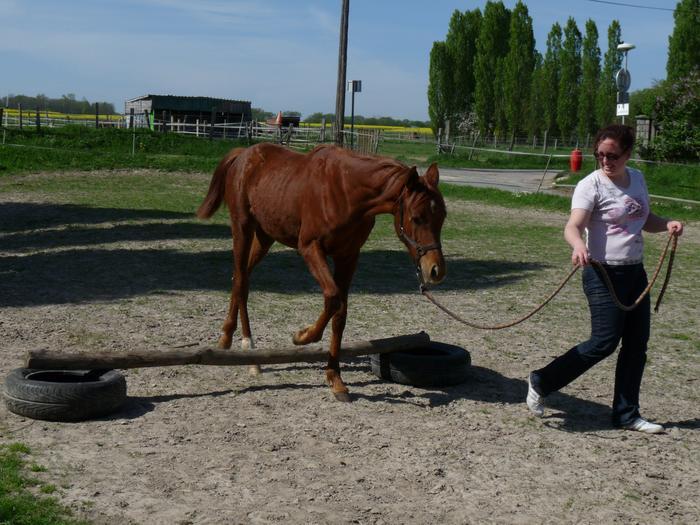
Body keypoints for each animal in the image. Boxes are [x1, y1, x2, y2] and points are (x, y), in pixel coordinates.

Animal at [197, 141, 446, 400]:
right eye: (416, 218)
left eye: (442, 216)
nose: (435, 270)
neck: (347, 192)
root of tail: (243, 155)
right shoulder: (310, 248)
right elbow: (333, 297)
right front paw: (302, 336)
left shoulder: (348, 257)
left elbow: (340, 315)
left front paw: (334, 378)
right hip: (242, 228)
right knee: (240, 280)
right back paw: (243, 345)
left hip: (265, 236)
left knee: (241, 277)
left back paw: (238, 344)